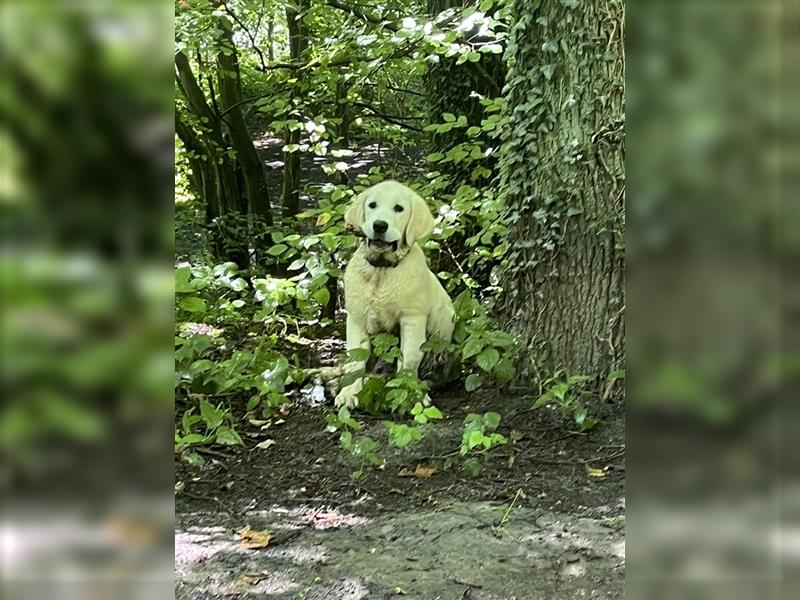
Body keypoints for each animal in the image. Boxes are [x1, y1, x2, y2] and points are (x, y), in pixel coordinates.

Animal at [332, 180, 456, 410]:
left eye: (399, 208)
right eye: (372, 205)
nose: (380, 226)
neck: (382, 270)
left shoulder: (412, 318)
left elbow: (409, 357)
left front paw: (410, 393)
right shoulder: (356, 317)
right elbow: (355, 359)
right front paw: (348, 393)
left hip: (445, 322)